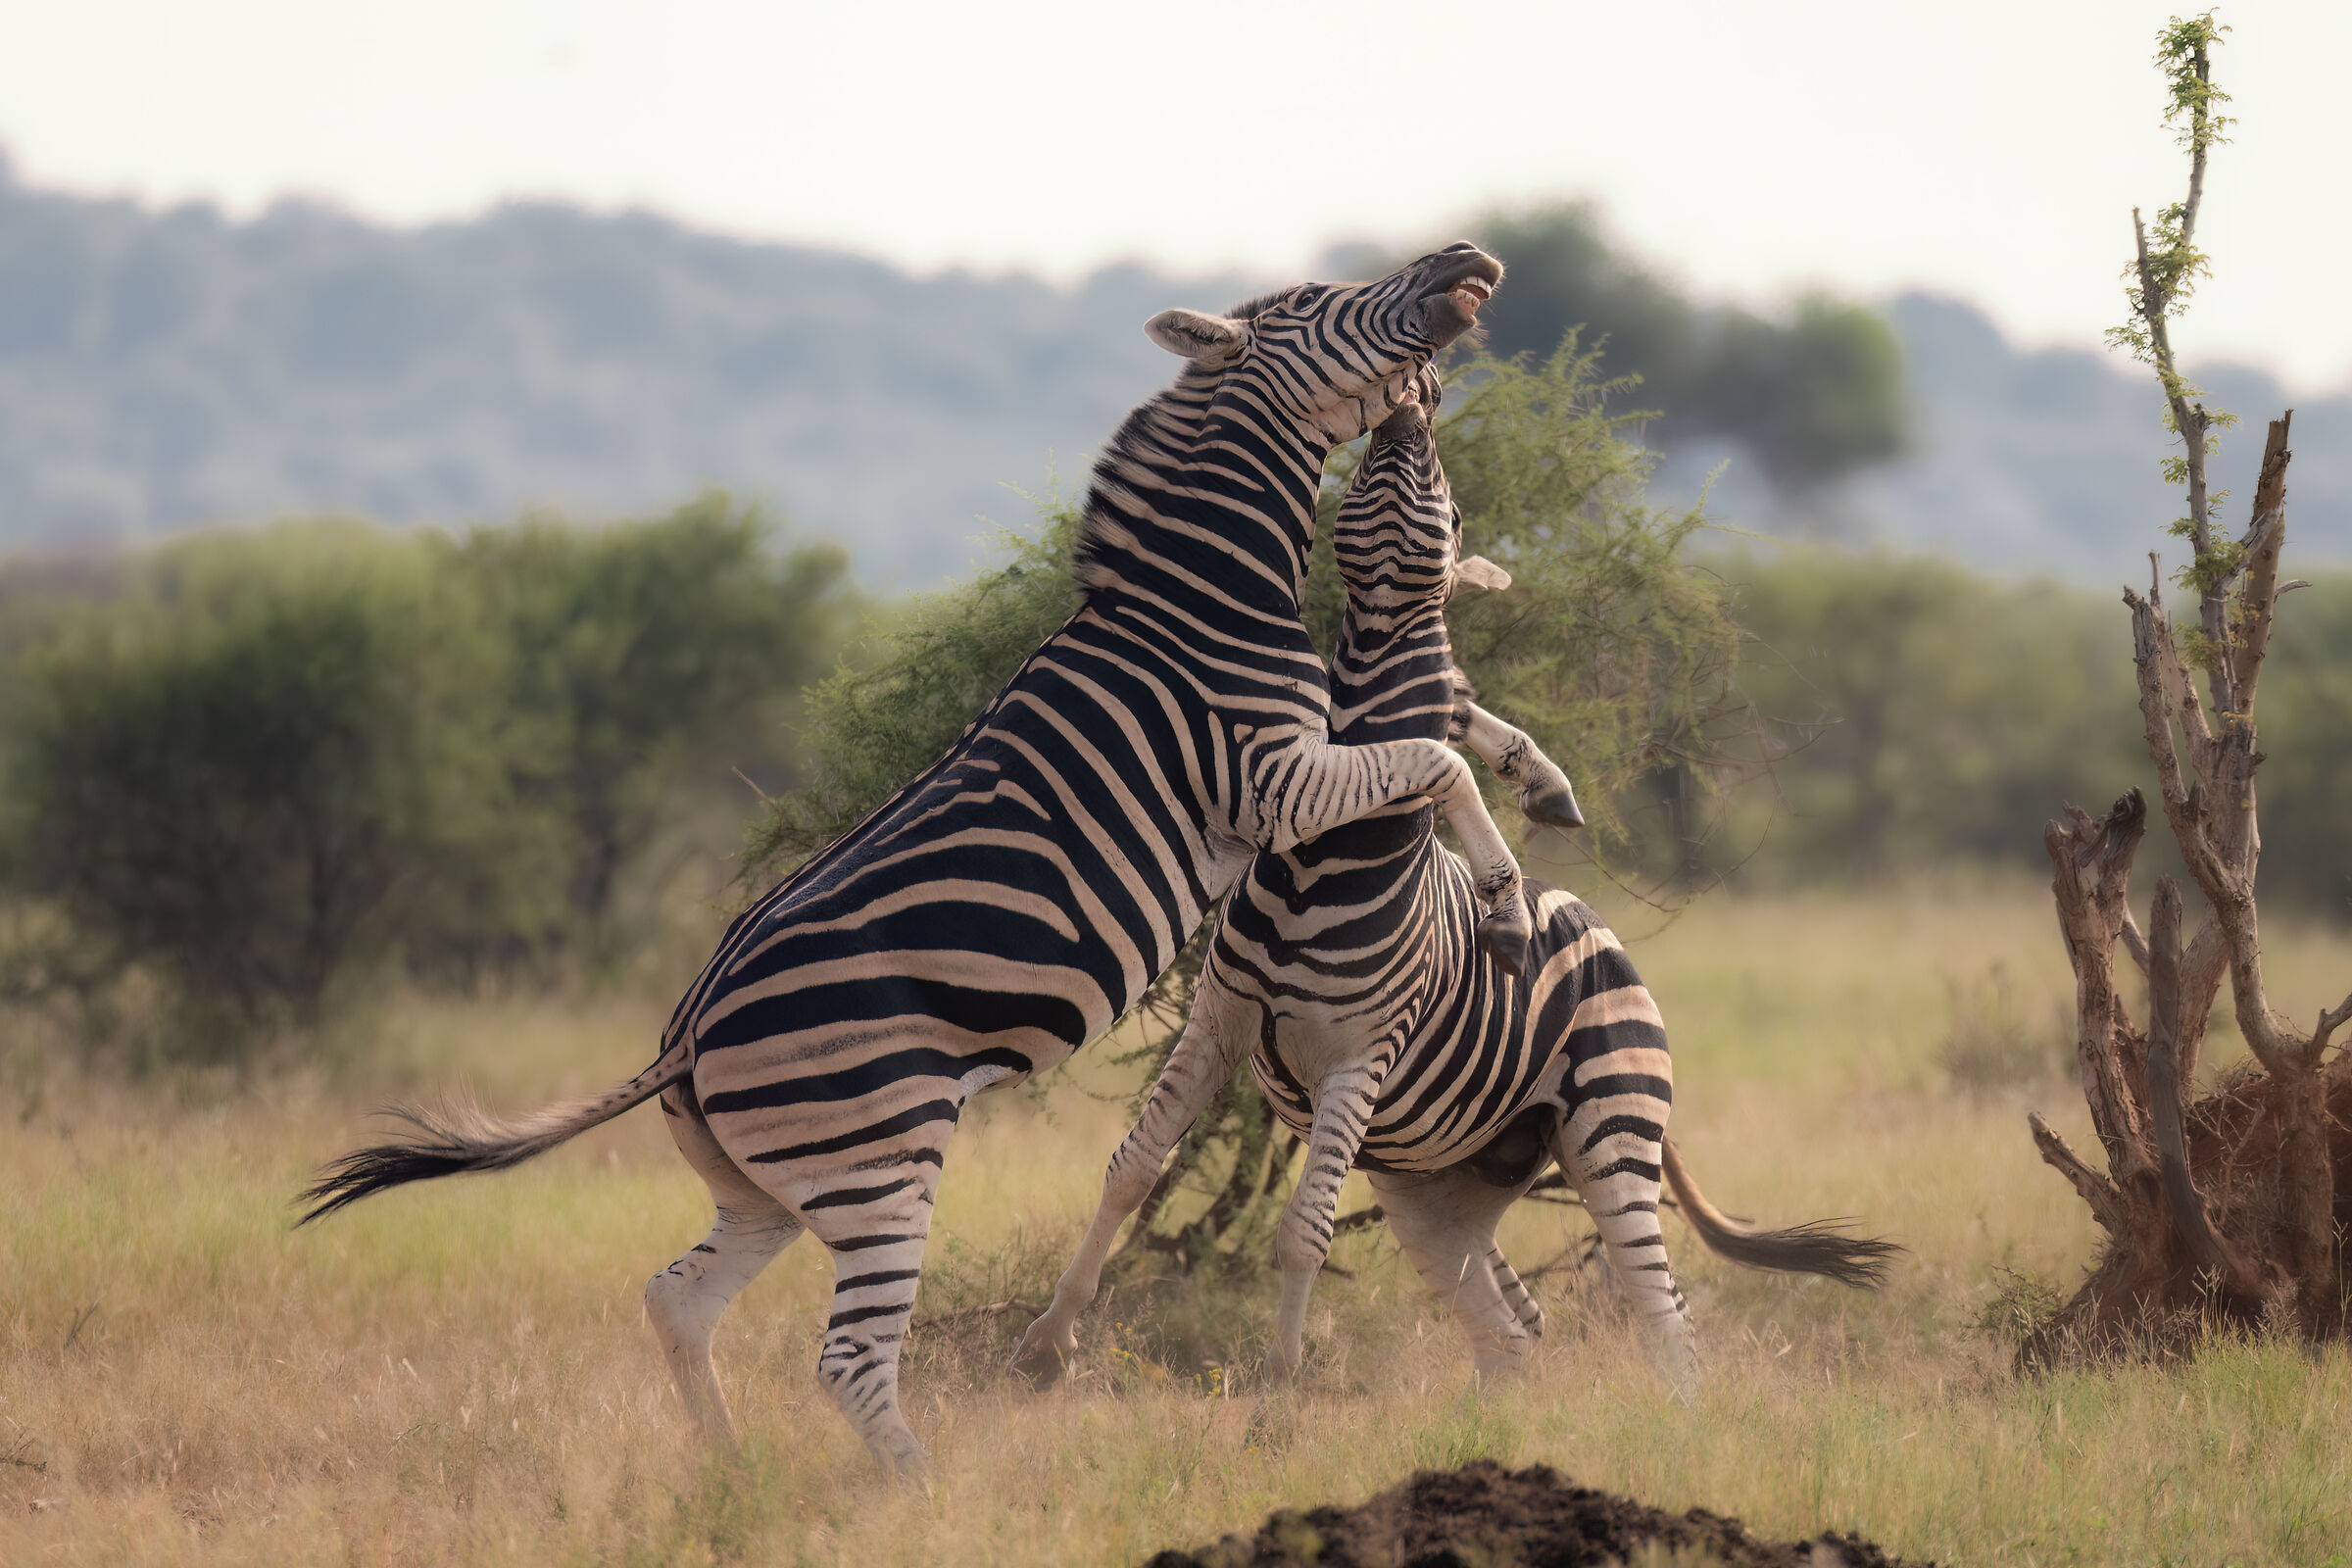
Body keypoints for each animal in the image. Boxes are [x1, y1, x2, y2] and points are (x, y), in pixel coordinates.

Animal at [300, 244, 1544, 1476]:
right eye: (1315, 302)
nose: (1471, 260)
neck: (1206, 598)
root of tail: (686, 1033)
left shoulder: (1304, 769)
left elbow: (1452, 736)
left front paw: (1530, 793)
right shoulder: (1276, 776)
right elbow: (1435, 760)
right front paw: (1504, 899)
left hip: (771, 1186)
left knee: (677, 1301)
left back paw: (735, 1481)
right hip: (879, 1161)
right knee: (847, 1358)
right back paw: (921, 1493)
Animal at [1012, 369, 1896, 1395]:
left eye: (1455, 507)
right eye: (1356, 475)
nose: (1415, 400)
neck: (1325, 861)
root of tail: (1608, 933)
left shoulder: (1358, 1059)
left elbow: (1302, 1234)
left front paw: (1278, 1386)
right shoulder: (1220, 1022)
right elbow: (1131, 1168)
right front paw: (1048, 1343)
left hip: (1611, 1134)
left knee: (1662, 1316)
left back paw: (1683, 1415)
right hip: (1434, 1186)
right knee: (1511, 1329)